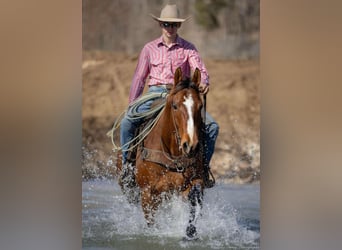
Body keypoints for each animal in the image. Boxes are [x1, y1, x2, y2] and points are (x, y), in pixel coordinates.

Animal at [117, 67, 206, 239]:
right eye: (175, 106)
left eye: (200, 106)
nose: (190, 145)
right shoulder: (147, 193)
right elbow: (152, 222)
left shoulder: (192, 182)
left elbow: (195, 198)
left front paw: (190, 232)